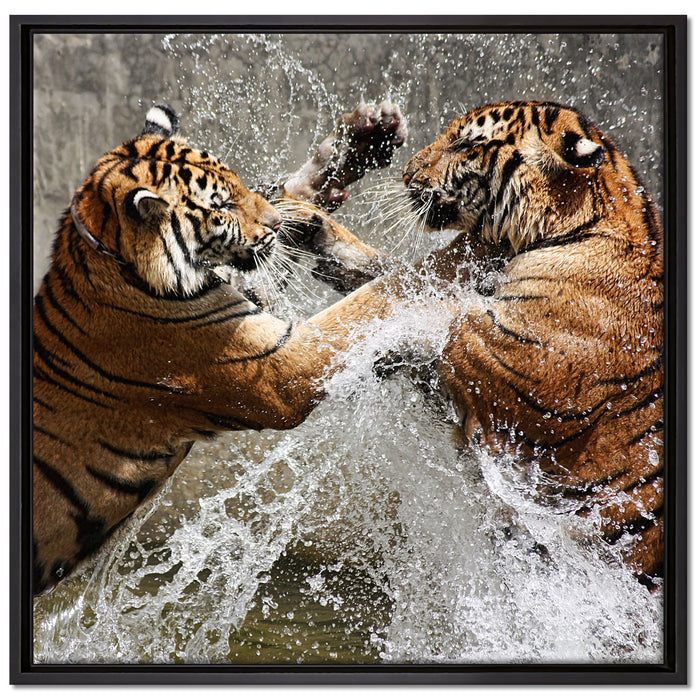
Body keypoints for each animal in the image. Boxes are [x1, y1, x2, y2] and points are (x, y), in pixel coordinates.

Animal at [32, 101, 414, 595]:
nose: (274, 222)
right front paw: (445, 271)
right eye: (224, 206)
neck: (120, 263)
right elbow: (368, 302)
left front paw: (361, 140)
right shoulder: (278, 368)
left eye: (239, 184)